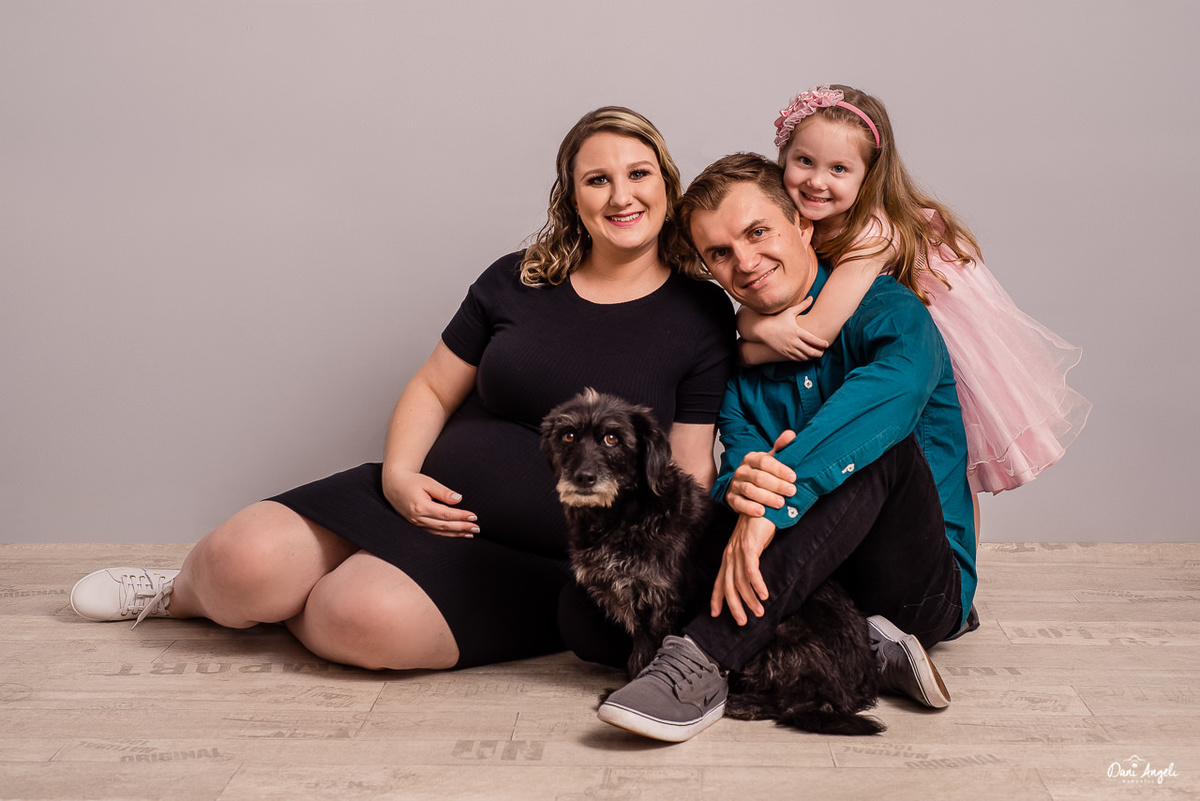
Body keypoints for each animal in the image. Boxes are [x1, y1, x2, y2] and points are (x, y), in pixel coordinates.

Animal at [541, 388, 883, 736]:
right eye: (568, 436)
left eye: (612, 438)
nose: (583, 478)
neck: (626, 512)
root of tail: (861, 679)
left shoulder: (658, 603)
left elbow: (645, 655)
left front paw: (633, 689)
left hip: (780, 634)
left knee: (803, 700)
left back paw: (745, 703)